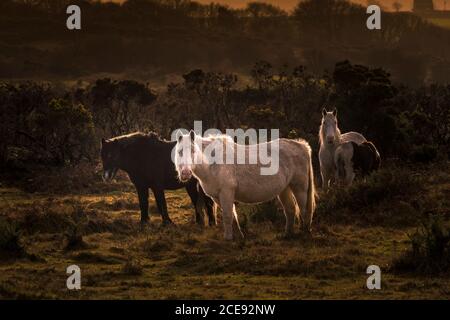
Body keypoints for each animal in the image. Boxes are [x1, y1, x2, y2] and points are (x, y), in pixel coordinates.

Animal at [174, 130, 314, 240]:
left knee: (303, 209)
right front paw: (239, 235)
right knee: (290, 209)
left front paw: (228, 239)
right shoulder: (217, 197)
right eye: (179, 152)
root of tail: (302, 146)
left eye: (193, 151)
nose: (185, 173)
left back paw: (305, 232)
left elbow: (228, 215)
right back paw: (287, 234)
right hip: (284, 189)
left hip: (299, 188)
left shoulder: (226, 193)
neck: (213, 163)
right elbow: (232, 215)